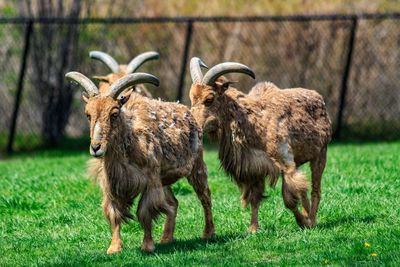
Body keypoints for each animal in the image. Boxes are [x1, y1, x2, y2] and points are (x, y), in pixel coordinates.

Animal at [65, 70, 214, 253]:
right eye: (88, 114)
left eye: (114, 114)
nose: (96, 147)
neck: (132, 142)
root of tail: (187, 111)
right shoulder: (112, 186)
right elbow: (114, 213)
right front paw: (114, 248)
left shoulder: (150, 183)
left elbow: (144, 212)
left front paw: (147, 246)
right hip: (164, 180)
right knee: (173, 203)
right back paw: (166, 238)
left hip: (196, 166)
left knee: (205, 197)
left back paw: (208, 233)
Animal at [188, 58, 332, 232]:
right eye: (192, 98)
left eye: (209, 99)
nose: (193, 125)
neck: (251, 122)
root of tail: (320, 99)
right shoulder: (253, 169)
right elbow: (255, 198)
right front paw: (253, 228)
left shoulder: (285, 163)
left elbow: (289, 199)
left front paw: (303, 222)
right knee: (304, 189)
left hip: (320, 154)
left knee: (315, 189)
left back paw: (312, 218)